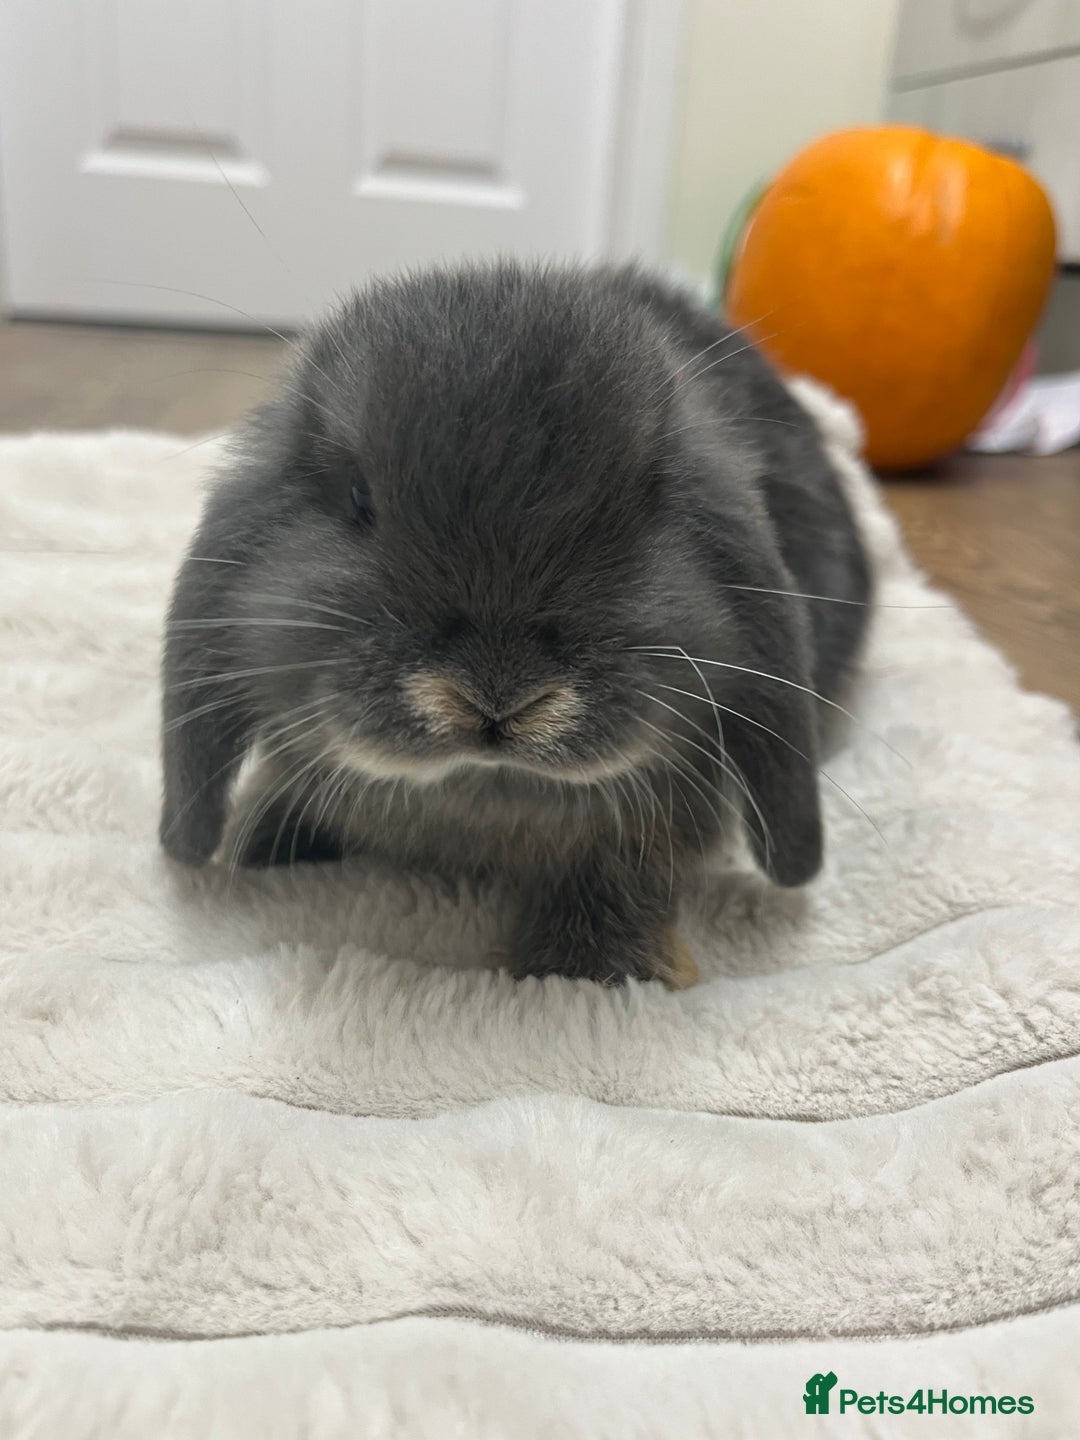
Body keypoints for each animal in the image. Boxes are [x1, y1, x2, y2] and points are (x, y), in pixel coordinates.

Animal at [160, 261, 871, 987]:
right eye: (359, 497)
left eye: (644, 503)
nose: (496, 692)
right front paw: (265, 837)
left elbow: (619, 866)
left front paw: (591, 971)